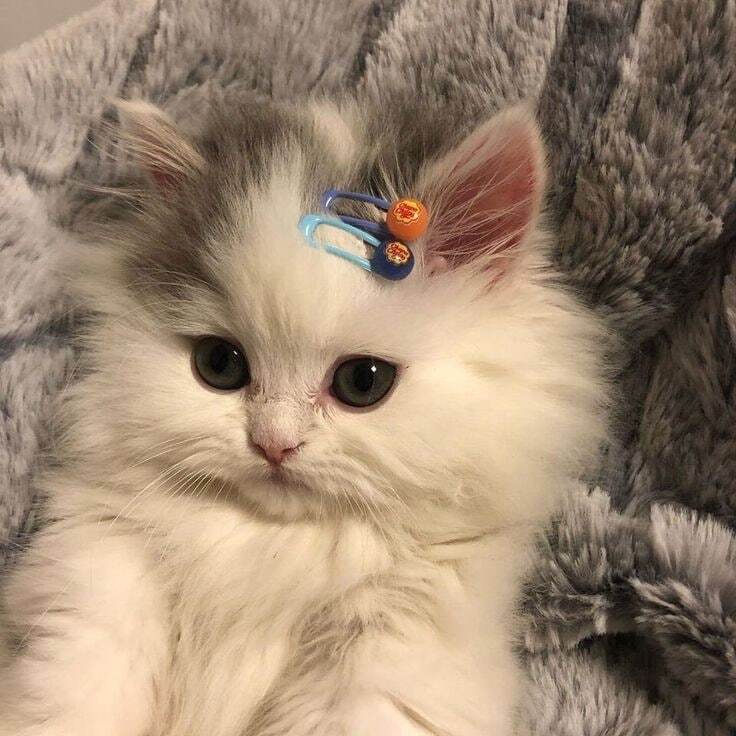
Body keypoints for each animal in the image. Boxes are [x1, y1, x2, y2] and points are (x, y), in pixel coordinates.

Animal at [0, 96, 607, 736]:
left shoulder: (396, 656)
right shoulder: (96, 588)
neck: (271, 552)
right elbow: (77, 696)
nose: (274, 444)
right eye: (219, 364)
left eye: (363, 382)